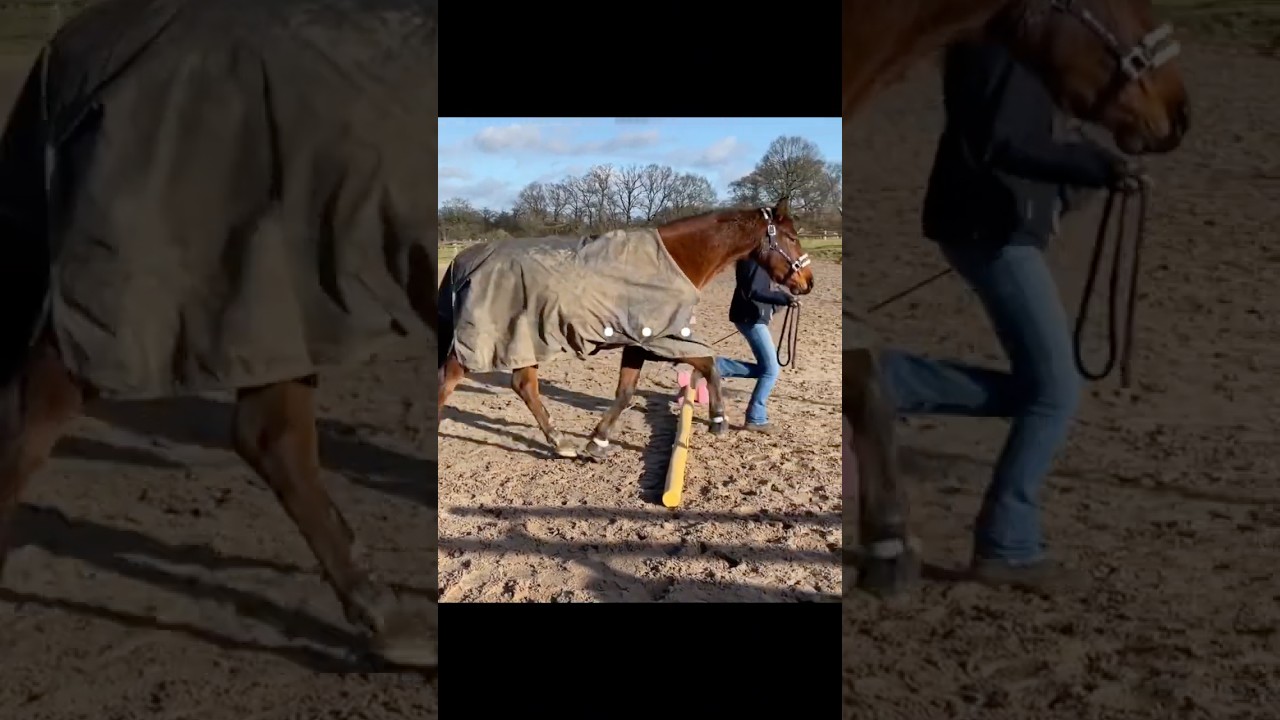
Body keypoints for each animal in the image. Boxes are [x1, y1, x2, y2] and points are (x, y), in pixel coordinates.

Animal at [437, 197, 815, 462]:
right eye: (792, 236)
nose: (807, 282)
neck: (675, 259)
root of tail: (463, 260)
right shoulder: (659, 337)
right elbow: (708, 364)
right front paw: (718, 420)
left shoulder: (642, 341)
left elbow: (626, 391)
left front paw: (598, 441)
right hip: (484, 343)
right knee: (450, 383)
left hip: (523, 341)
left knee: (524, 387)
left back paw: (561, 444)